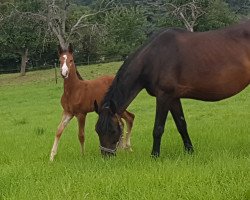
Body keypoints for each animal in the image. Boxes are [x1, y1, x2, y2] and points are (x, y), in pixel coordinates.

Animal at [94, 21, 250, 156]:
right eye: (97, 130)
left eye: (113, 130)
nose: (106, 156)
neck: (153, 58)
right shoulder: (174, 98)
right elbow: (181, 125)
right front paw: (189, 151)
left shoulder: (163, 96)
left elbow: (158, 128)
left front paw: (155, 155)